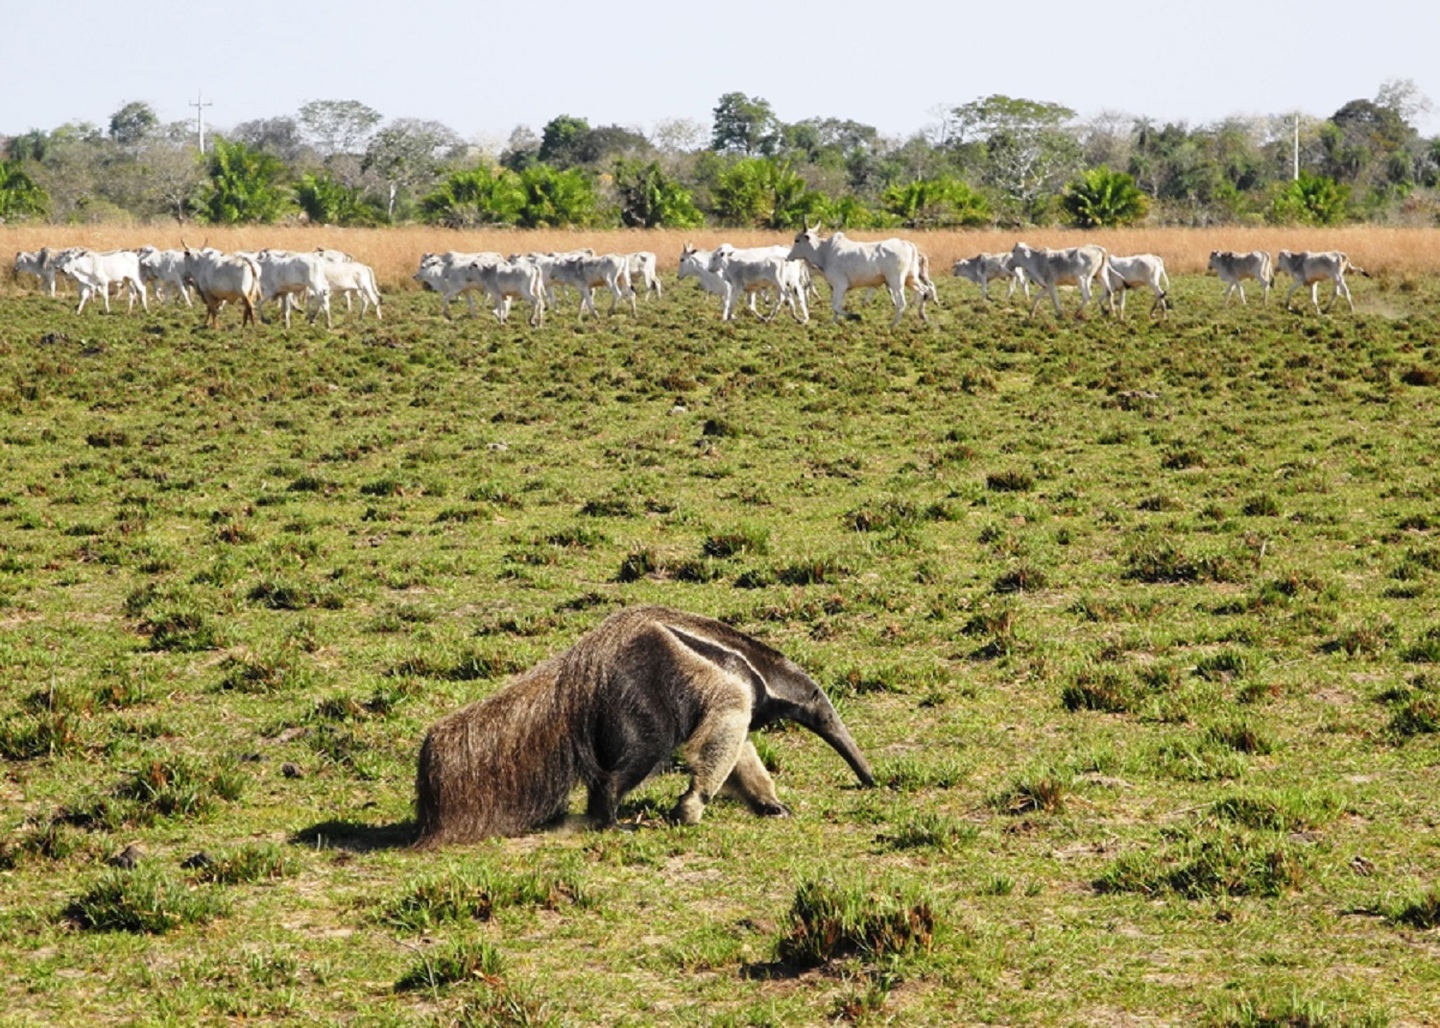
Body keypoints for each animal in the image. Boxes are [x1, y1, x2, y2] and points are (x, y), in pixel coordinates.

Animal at [789, 226, 933, 326]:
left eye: (797, 240)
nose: (789, 257)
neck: (825, 252)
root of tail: (907, 244)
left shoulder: (840, 285)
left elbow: (836, 306)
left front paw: (855, 316)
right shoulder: (836, 287)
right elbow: (836, 307)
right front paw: (833, 323)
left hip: (896, 282)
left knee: (902, 303)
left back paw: (893, 325)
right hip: (911, 279)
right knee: (924, 290)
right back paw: (923, 315)